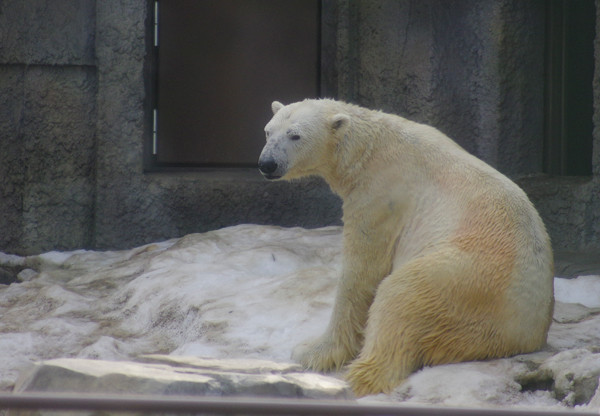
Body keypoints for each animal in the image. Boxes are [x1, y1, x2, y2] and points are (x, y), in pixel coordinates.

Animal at [256, 97, 552, 396]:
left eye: (295, 135)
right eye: (268, 131)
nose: (267, 164)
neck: (368, 149)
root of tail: (527, 331)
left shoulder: (381, 195)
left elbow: (361, 271)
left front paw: (312, 351)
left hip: (464, 278)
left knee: (400, 297)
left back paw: (360, 376)